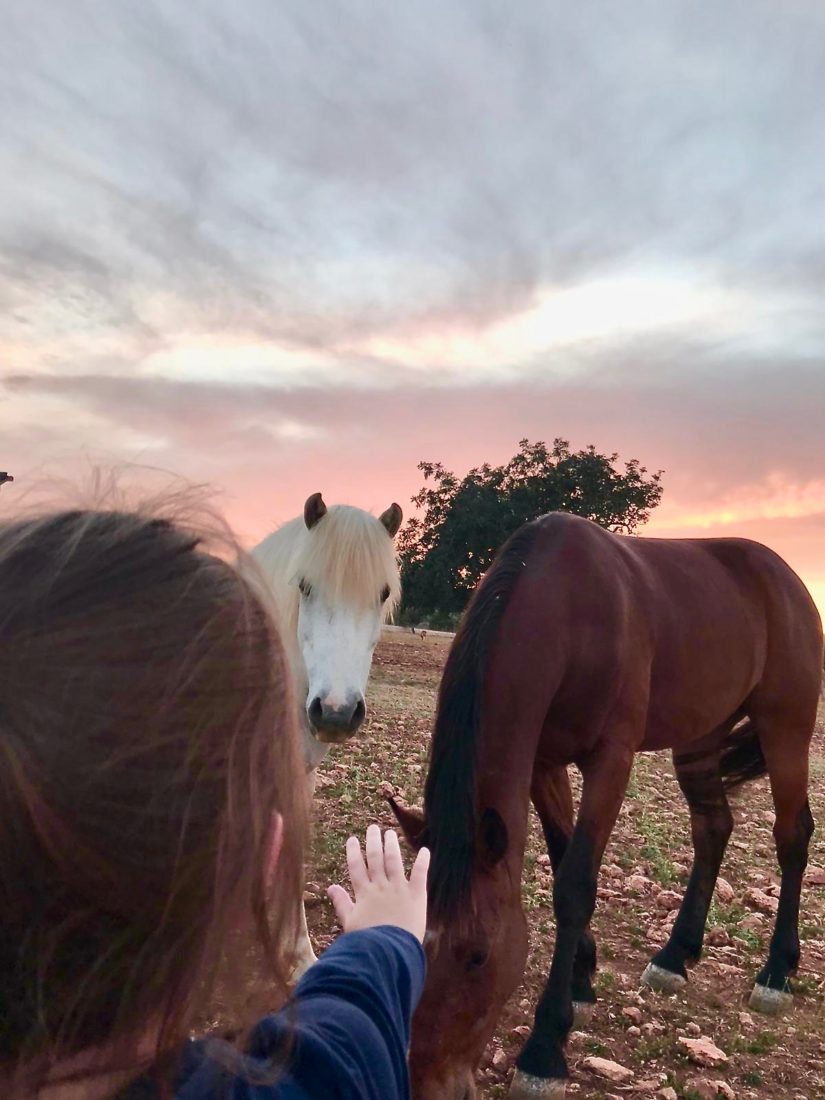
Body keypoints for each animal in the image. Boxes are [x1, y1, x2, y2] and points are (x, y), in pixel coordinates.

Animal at [391, 512, 822, 1100]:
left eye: (477, 955)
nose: (425, 1083)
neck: (569, 609)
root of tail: (786, 576)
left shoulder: (610, 760)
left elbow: (576, 884)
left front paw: (545, 1047)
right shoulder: (543, 762)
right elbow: (560, 857)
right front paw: (582, 979)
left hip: (786, 730)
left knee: (792, 836)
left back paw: (776, 972)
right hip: (699, 737)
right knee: (712, 828)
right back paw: (675, 956)